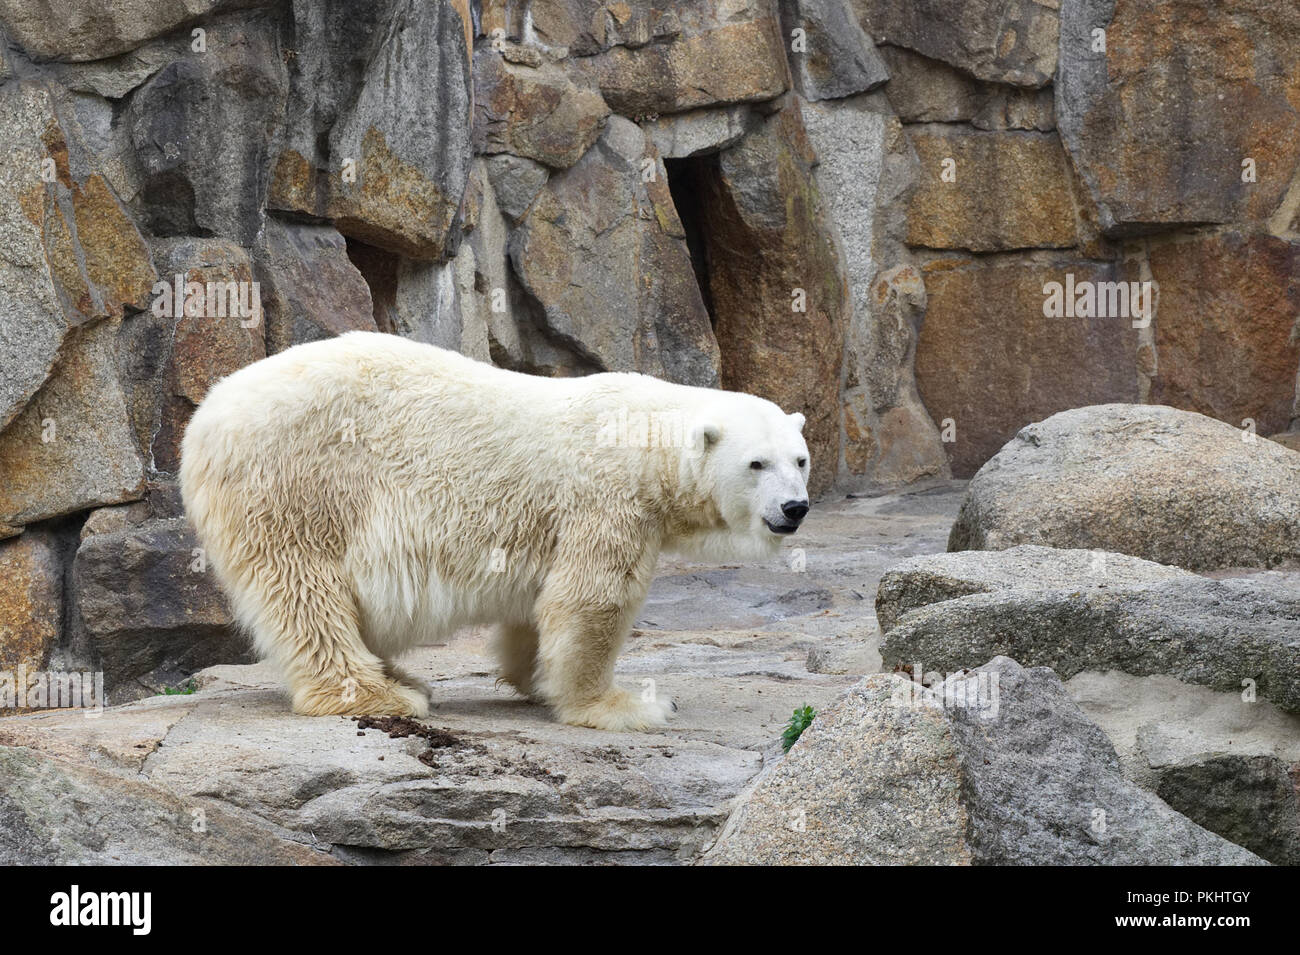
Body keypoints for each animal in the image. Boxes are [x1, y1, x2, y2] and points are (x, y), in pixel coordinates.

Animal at [180, 332, 811, 727]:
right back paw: (382, 692)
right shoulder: (606, 499)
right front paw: (626, 705)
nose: (795, 508)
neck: (641, 436)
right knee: (304, 589)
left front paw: (534, 676)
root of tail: (205, 419)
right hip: (298, 486)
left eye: (800, 459)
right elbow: (594, 599)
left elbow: (539, 605)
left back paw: (404, 676)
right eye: (757, 463)